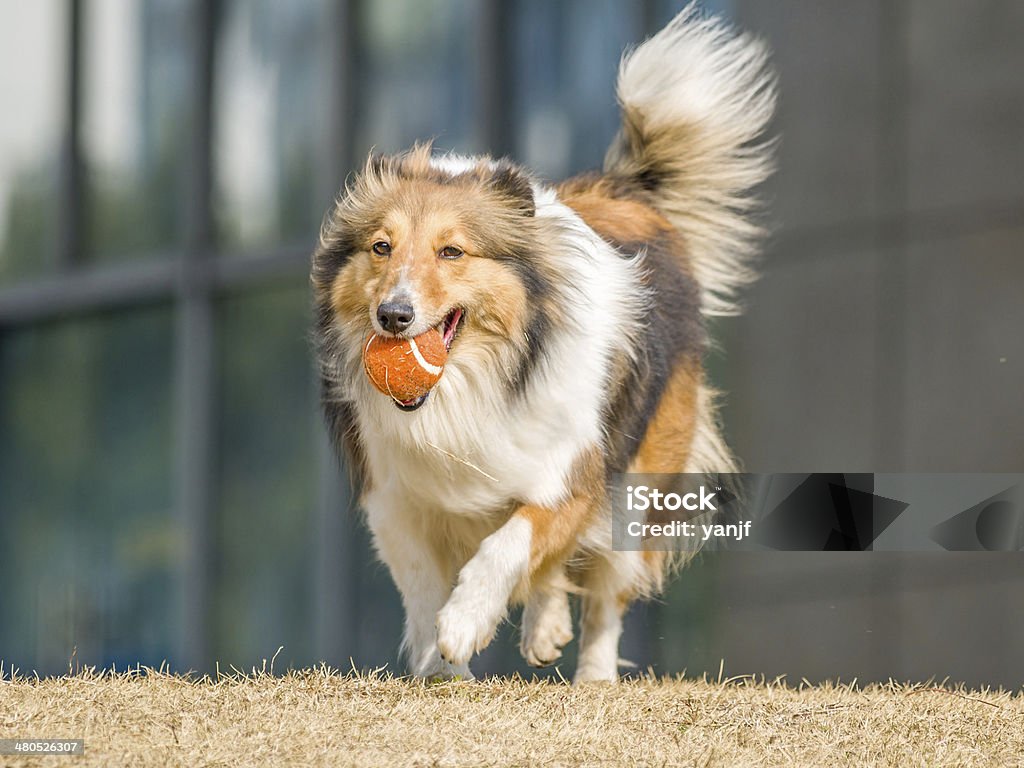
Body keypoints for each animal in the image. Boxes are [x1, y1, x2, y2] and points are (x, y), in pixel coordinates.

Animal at [311, 3, 774, 684]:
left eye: (453, 251)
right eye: (381, 246)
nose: (393, 316)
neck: (469, 388)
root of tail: (623, 192)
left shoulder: (572, 471)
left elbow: (512, 541)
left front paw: (464, 622)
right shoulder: (395, 498)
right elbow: (423, 585)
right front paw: (438, 662)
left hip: (637, 482)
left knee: (607, 595)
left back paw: (594, 677)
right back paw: (546, 629)